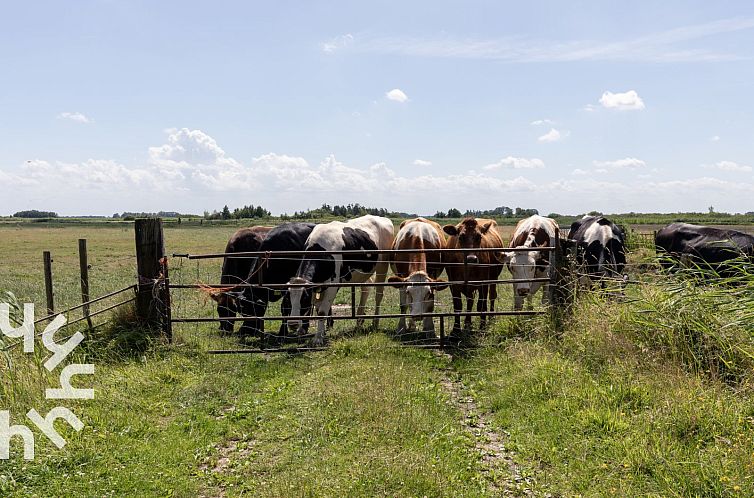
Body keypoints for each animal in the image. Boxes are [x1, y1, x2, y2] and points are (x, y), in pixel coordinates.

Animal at [286, 214, 394, 346]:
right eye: (288, 299)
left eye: (304, 298)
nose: (292, 324)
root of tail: (382, 218)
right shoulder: (318, 285)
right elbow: (318, 308)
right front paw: (319, 332)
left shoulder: (333, 285)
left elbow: (322, 311)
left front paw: (318, 339)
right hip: (363, 272)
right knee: (366, 288)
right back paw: (359, 321)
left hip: (383, 265)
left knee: (379, 293)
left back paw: (375, 322)